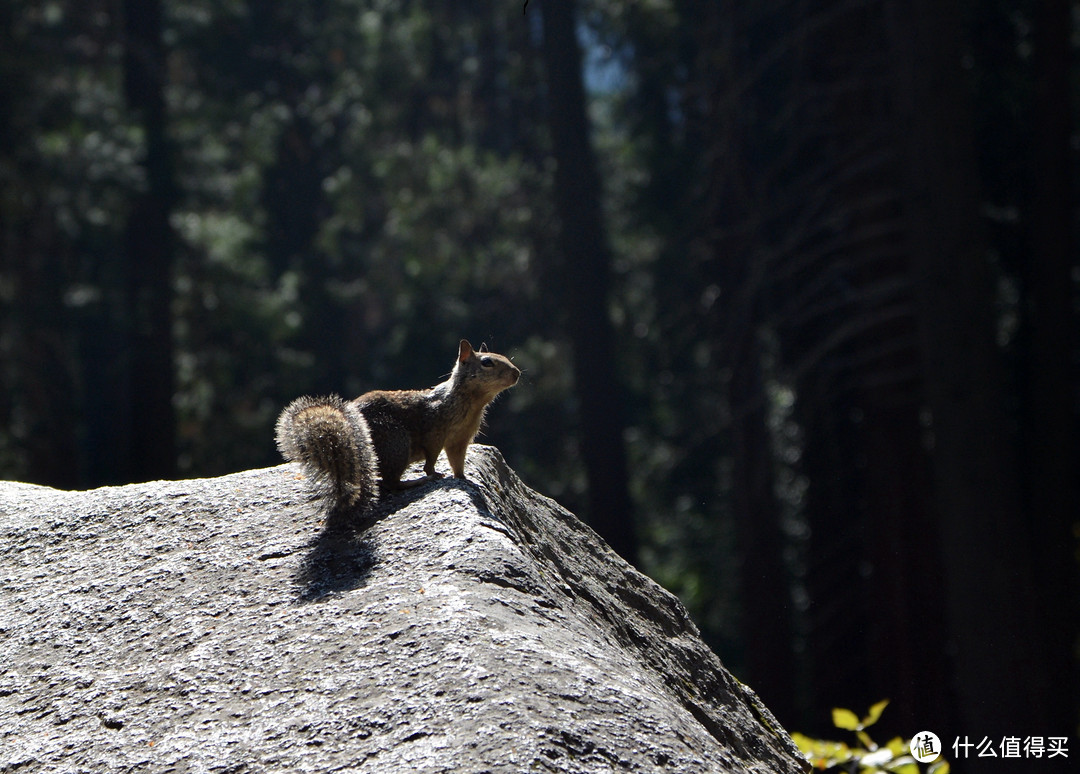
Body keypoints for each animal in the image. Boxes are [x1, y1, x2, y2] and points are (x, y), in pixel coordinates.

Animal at [274, 338, 518, 513]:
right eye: (487, 362)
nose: (516, 373)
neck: (470, 401)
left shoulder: (459, 440)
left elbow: (457, 462)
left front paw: (465, 479)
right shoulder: (434, 429)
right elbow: (432, 457)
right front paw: (433, 473)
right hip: (397, 443)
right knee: (391, 483)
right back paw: (415, 482)